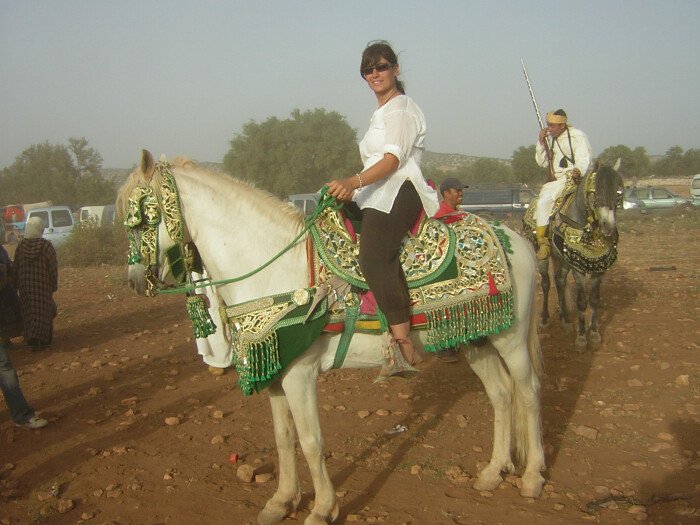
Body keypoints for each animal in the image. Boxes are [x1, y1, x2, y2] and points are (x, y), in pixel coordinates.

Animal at [120, 149, 548, 520]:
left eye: (143, 217)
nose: (135, 281)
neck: (276, 267)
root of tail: (517, 240)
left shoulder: (299, 374)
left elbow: (312, 442)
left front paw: (323, 509)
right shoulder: (276, 371)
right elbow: (282, 437)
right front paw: (281, 501)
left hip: (511, 338)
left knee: (528, 393)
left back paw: (532, 477)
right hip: (475, 337)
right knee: (501, 395)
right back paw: (492, 472)